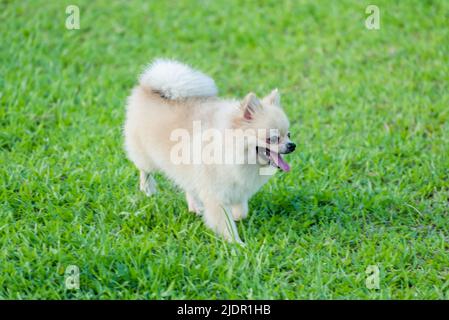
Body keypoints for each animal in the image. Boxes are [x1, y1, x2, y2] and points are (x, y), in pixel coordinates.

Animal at [124, 58, 296, 242]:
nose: (292, 145)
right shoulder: (216, 196)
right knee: (144, 170)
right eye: (273, 138)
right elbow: (226, 224)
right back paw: (148, 188)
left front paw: (237, 217)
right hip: (145, 155)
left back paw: (194, 206)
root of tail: (150, 86)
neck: (237, 154)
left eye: (288, 134)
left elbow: (242, 211)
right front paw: (237, 243)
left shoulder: (237, 188)